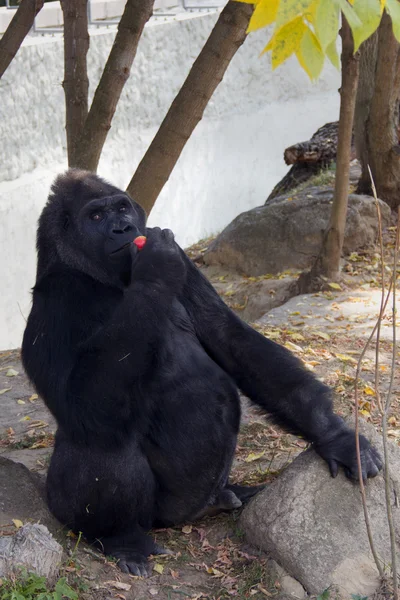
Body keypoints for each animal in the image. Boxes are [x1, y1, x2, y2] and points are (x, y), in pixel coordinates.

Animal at [21, 169, 382, 576]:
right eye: (96, 217)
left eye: (122, 208)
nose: (124, 228)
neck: (97, 276)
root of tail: (189, 515)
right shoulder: (55, 300)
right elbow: (82, 410)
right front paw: (155, 269)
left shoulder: (186, 262)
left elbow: (229, 336)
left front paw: (335, 434)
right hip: (137, 515)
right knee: (102, 440)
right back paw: (122, 539)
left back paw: (230, 495)